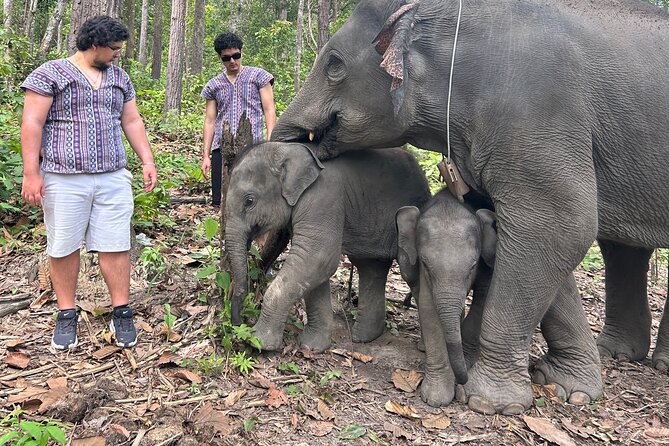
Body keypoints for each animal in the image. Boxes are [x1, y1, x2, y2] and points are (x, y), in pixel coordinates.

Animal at [224, 142, 431, 352]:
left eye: (249, 201)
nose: (239, 322)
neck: (290, 148)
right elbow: (315, 269)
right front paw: (312, 346)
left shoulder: (323, 199)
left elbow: (318, 258)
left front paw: (257, 342)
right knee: (371, 268)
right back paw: (363, 337)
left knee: (407, 273)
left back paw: (421, 347)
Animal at [395, 189, 497, 406]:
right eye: (426, 264)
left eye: (473, 265)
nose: (462, 382)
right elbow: (428, 307)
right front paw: (437, 399)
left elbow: (484, 296)